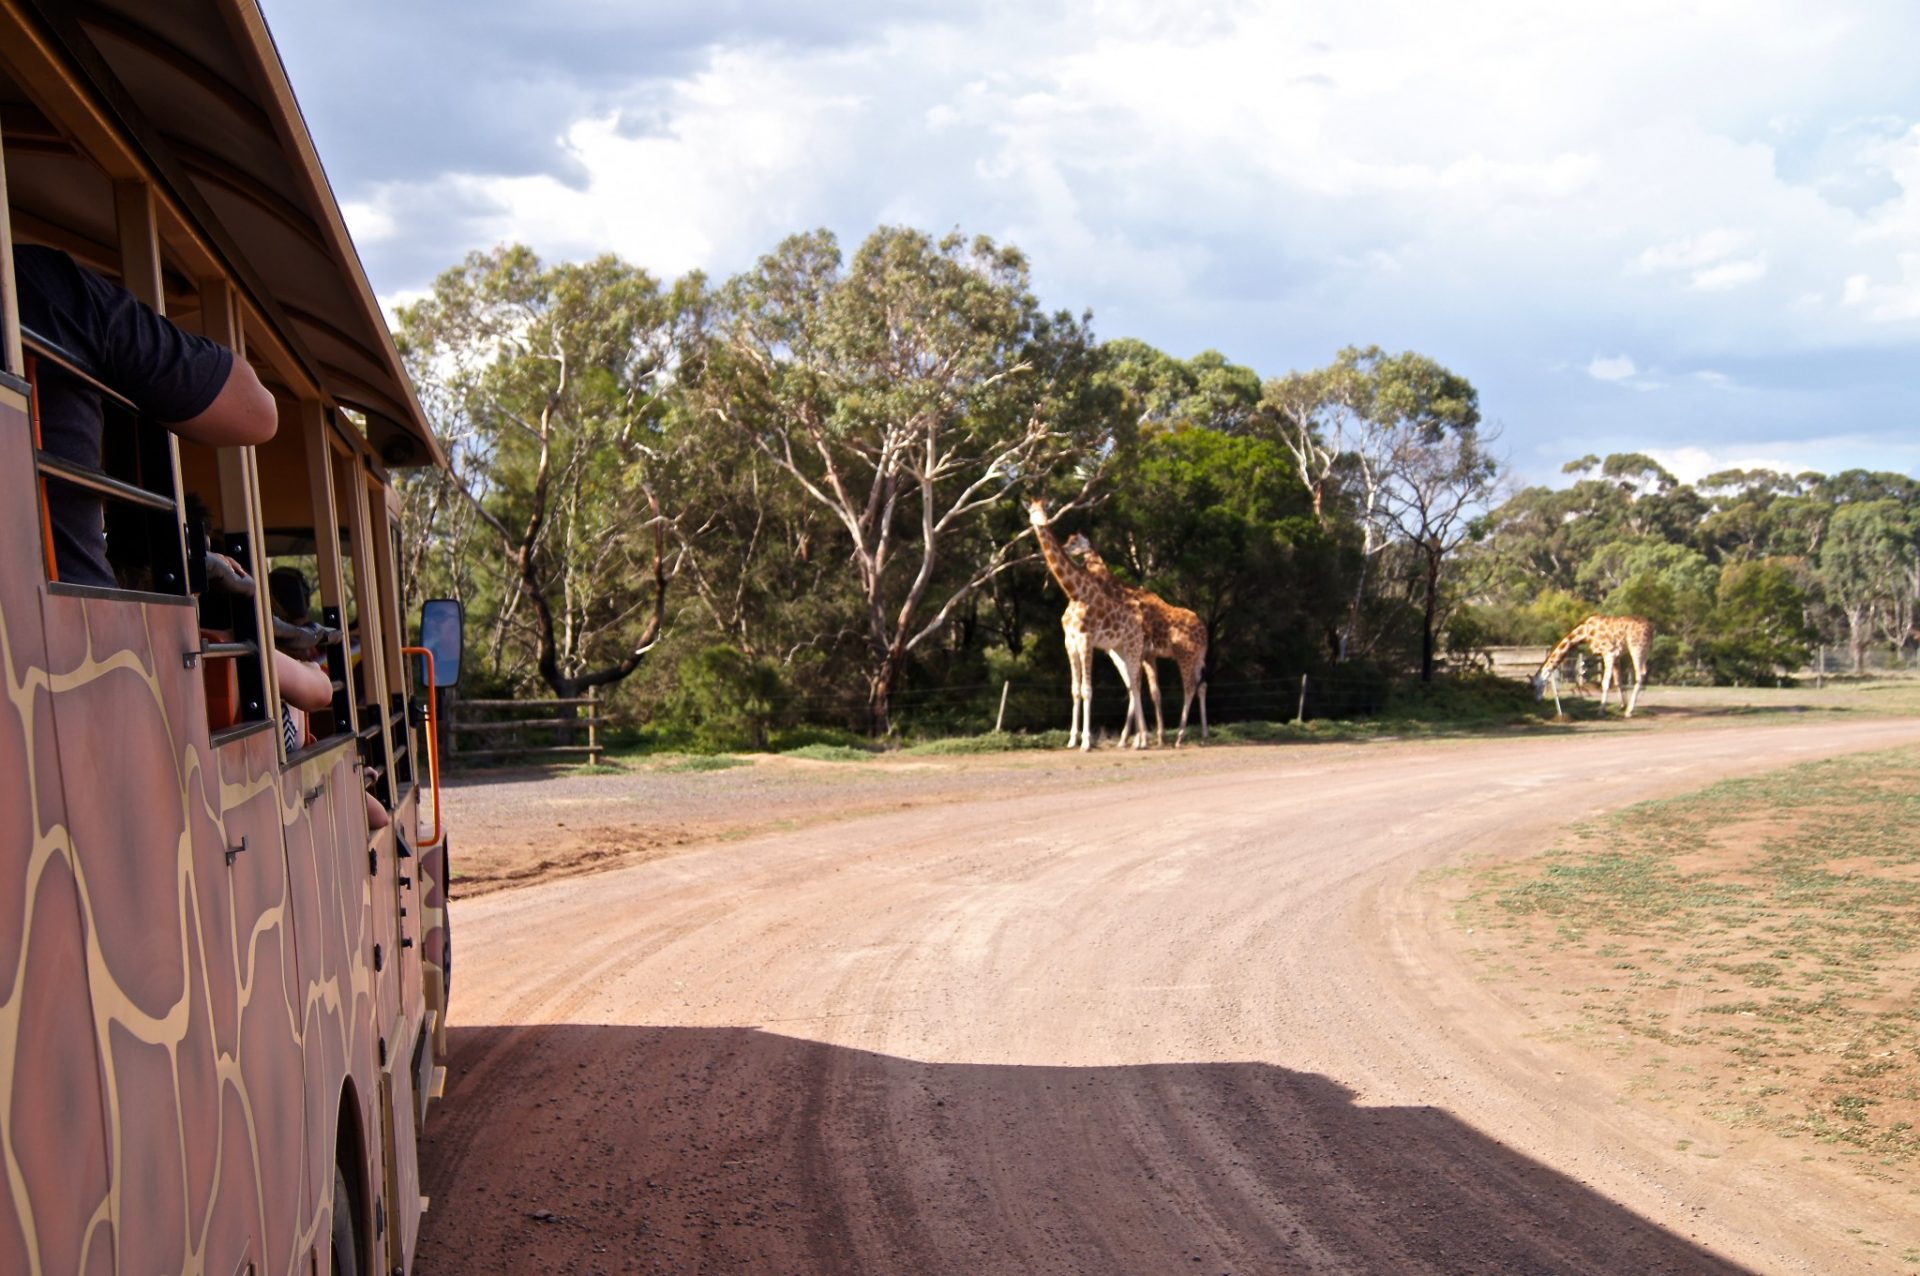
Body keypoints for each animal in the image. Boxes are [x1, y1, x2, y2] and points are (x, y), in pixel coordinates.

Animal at [1029, 498, 1144, 752]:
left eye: (1045, 510)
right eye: (1031, 511)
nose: (1041, 523)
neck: (1076, 594)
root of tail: (1141, 624)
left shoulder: (1086, 641)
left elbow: (1087, 690)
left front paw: (1087, 742)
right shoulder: (1069, 642)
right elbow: (1074, 690)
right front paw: (1072, 739)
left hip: (1133, 647)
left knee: (1137, 683)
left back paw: (1142, 740)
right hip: (1118, 650)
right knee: (1132, 685)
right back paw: (1137, 740)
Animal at [1067, 533, 1213, 748]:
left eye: (1074, 542)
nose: (1065, 549)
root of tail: (1204, 631)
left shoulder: (1139, 651)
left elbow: (1136, 687)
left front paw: (1136, 738)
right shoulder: (1146, 654)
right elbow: (1151, 691)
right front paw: (1152, 736)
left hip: (1184, 655)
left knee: (1189, 687)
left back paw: (1180, 736)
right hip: (1198, 657)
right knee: (1202, 686)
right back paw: (1203, 736)